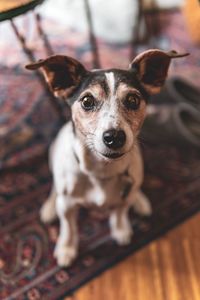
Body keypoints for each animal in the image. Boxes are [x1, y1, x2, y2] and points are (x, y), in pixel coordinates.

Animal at [25, 49, 188, 268]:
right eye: (87, 101)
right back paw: (50, 207)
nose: (114, 137)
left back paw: (140, 200)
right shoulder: (67, 206)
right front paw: (66, 248)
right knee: (55, 190)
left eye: (133, 100)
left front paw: (120, 230)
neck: (101, 170)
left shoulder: (124, 197)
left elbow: (119, 213)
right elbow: (69, 227)